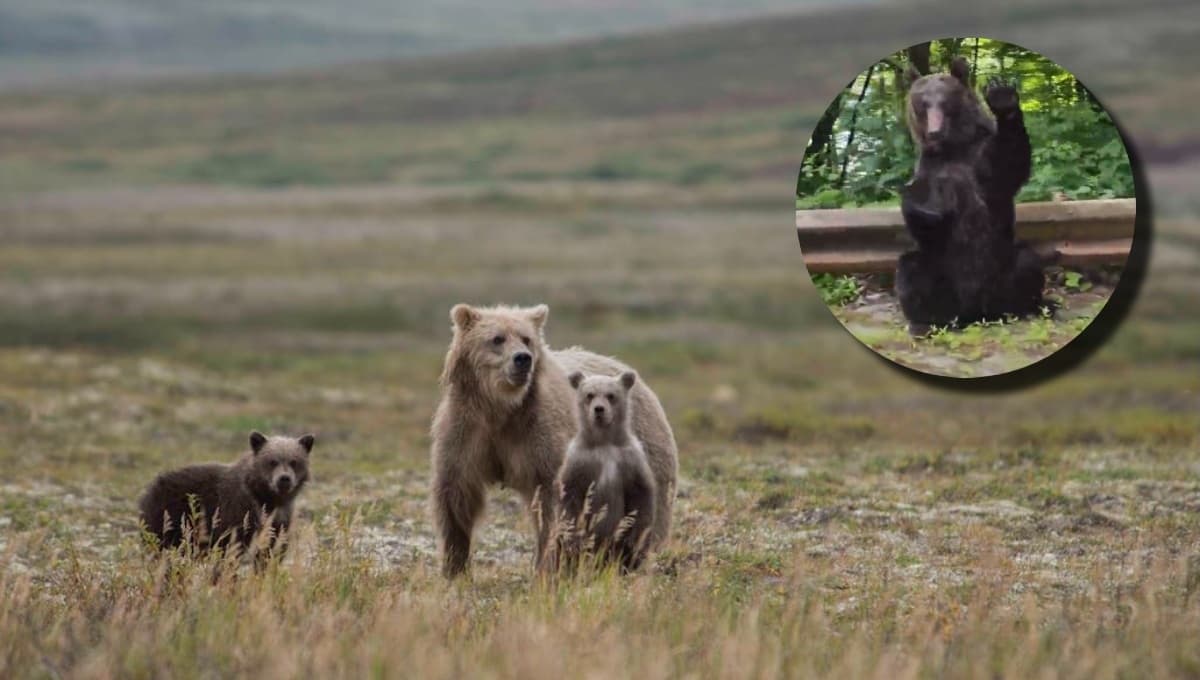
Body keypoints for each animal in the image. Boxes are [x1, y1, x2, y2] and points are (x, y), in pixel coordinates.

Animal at [138, 431, 314, 561]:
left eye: (294, 461)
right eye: (272, 461)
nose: (284, 479)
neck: (267, 498)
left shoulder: (280, 519)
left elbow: (271, 550)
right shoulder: (237, 510)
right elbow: (231, 548)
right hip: (169, 516)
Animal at [555, 370, 657, 574]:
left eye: (611, 395)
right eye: (590, 395)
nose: (599, 409)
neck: (604, 442)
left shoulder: (630, 459)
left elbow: (641, 495)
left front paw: (634, 539)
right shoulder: (579, 461)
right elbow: (569, 496)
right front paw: (571, 539)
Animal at [895, 55, 1047, 333]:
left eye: (944, 101)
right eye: (922, 103)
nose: (934, 132)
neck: (952, 148)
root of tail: (975, 313)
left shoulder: (980, 161)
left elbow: (1006, 167)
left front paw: (1003, 98)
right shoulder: (930, 168)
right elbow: (924, 218)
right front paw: (918, 202)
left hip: (1002, 264)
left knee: (1027, 262)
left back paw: (1027, 308)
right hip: (940, 272)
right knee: (910, 270)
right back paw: (926, 323)